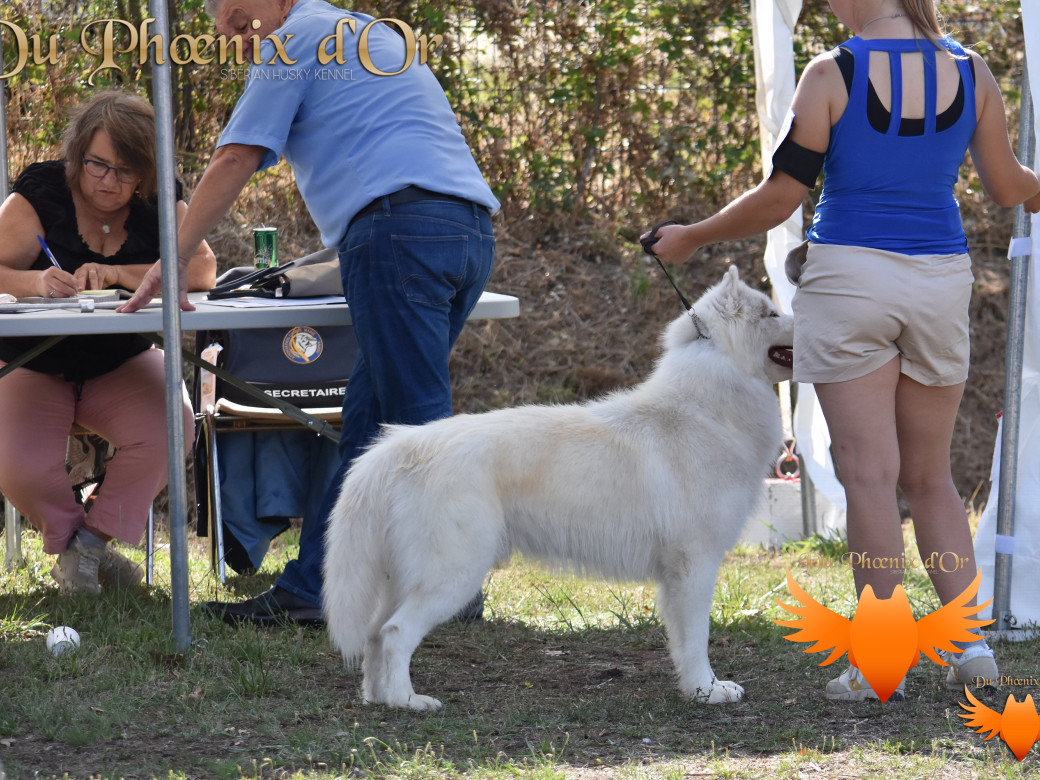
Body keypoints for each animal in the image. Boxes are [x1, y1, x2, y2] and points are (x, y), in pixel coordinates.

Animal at [320, 268, 790, 715]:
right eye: (771, 314)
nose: (801, 320)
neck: (705, 409)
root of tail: (400, 445)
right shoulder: (694, 565)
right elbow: (696, 639)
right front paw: (706, 691)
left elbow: (680, 639)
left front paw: (696, 688)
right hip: (453, 575)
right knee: (395, 632)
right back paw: (408, 701)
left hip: (405, 577)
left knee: (374, 634)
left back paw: (378, 698)